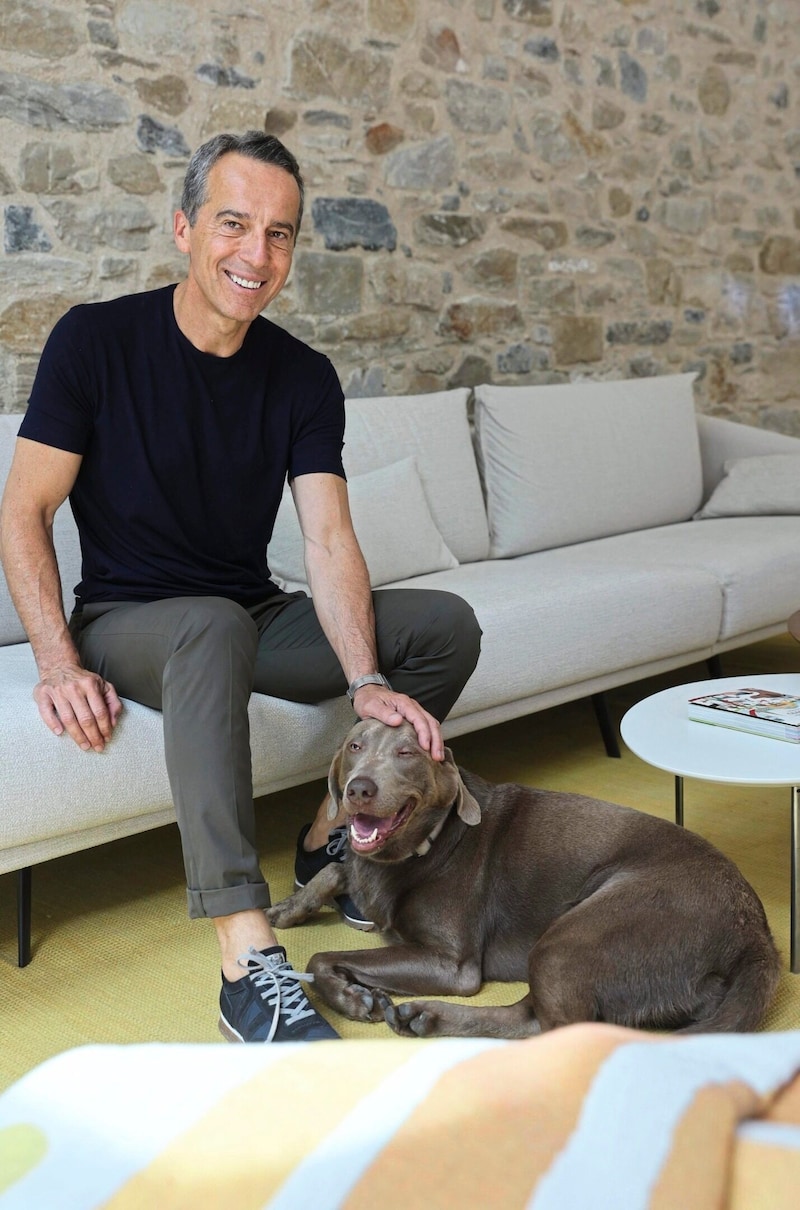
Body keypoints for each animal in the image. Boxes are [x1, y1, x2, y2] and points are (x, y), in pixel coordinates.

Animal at [265, 716, 774, 1040]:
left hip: (575, 933)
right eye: (355, 747)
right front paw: (288, 908)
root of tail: (758, 936)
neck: (424, 846)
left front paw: (353, 998)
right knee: (530, 1017)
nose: (359, 789)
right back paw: (425, 1017)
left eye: (406, 751)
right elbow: (334, 869)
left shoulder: (451, 963)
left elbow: (319, 957)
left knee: (558, 1030)